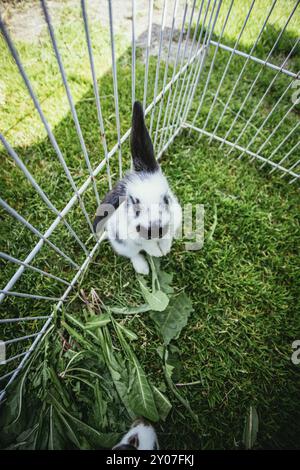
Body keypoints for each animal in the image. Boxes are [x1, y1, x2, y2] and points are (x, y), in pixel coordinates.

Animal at [92, 101, 182, 274]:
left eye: (166, 199)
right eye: (134, 204)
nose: (156, 229)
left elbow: (167, 237)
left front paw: (165, 249)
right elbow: (146, 245)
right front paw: (158, 253)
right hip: (123, 245)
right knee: (133, 254)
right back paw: (143, 269)